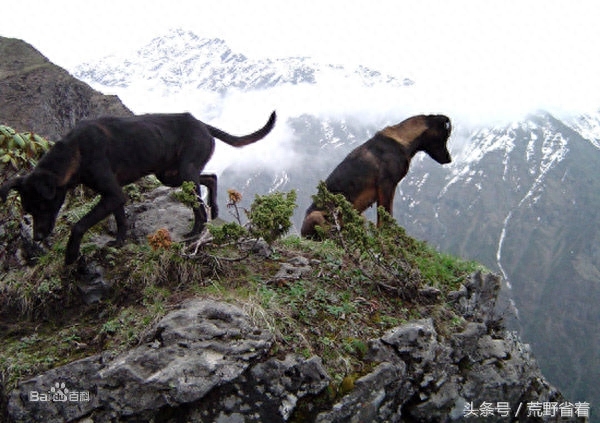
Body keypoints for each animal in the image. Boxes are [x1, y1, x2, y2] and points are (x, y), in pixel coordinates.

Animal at [0, 112, 276, 264]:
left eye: (42, 206)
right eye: (28, 210)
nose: (37, 238)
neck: (75, 151)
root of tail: (203, 125)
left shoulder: (112, 193)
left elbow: (79, 225)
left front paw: (70, 255)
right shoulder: (112, 196)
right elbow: (121, 219)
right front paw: (119, 242)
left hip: (185, 173)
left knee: (199, 204)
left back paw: (195, 232)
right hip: (171, 175)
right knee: (210, 178)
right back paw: (214, 208)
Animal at [302, 113, 452, 238]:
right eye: (446, 137)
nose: (449, 159)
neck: (402, 140)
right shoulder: (386, 185)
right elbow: (384, 218)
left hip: (358, 216)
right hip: (317, 215)